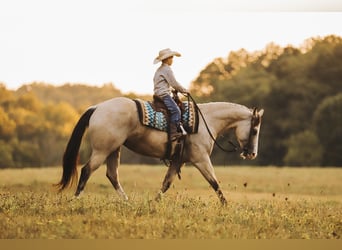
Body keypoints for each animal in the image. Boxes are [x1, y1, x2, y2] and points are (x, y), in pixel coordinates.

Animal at [56, 96, 264, 205]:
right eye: (254, 130)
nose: (252, 154)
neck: (207, 122)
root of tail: (97, 107)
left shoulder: (177, 161)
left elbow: (166, 184)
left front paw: (154, 203)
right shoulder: (201, 159)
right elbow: (215, 183)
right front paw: (226, 205)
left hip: (114, 150)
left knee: (112, 175)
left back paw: (127, 201)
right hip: (102, 150)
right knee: (86, 170)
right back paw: (76, 199)